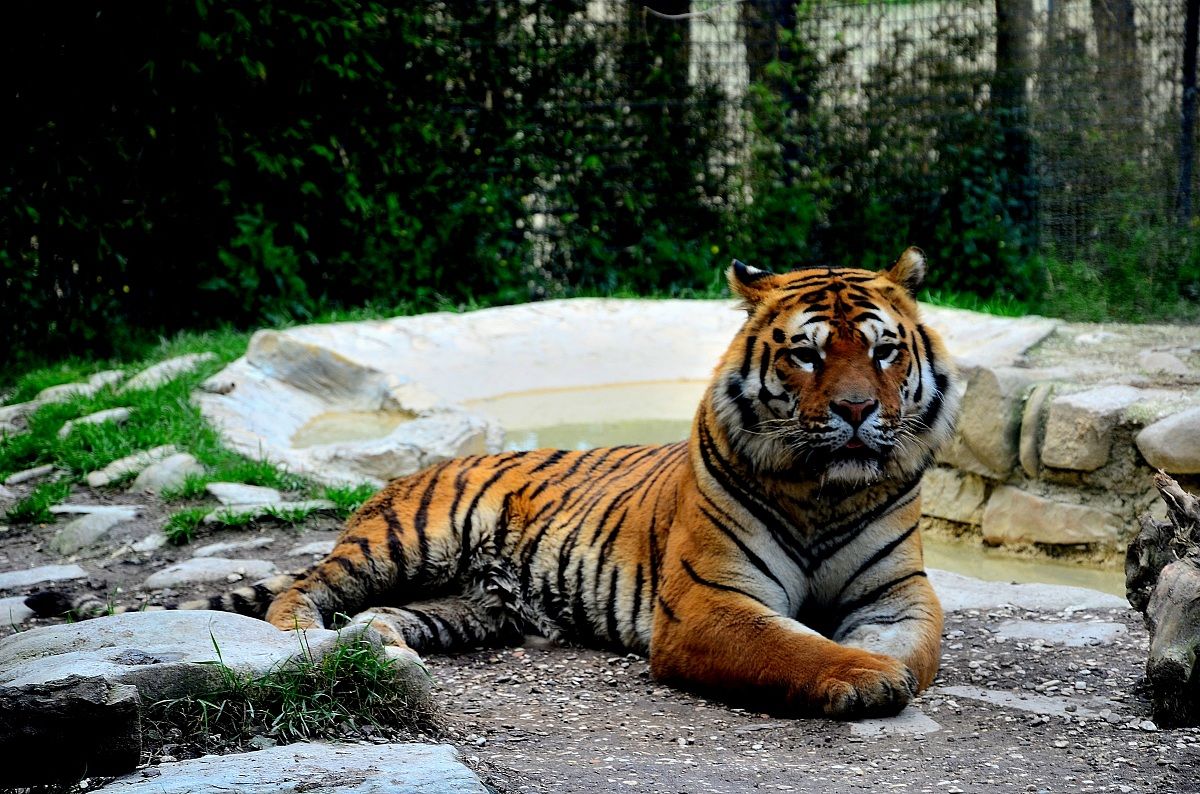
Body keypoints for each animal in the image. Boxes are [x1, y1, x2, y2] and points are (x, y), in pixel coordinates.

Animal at [28, 248, 958, 719]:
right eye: (804, 353)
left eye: (883, 351)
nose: (854, 412)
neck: (825, 488)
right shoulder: (709, 603)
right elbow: (788, 644)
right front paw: (861, 676)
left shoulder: (898, 593)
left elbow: (913, 647)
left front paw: (884, 667)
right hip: (402, 539)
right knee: (302, 586)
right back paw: (307, 637)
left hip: (464, 604)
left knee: (385, 616)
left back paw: (380, 643)